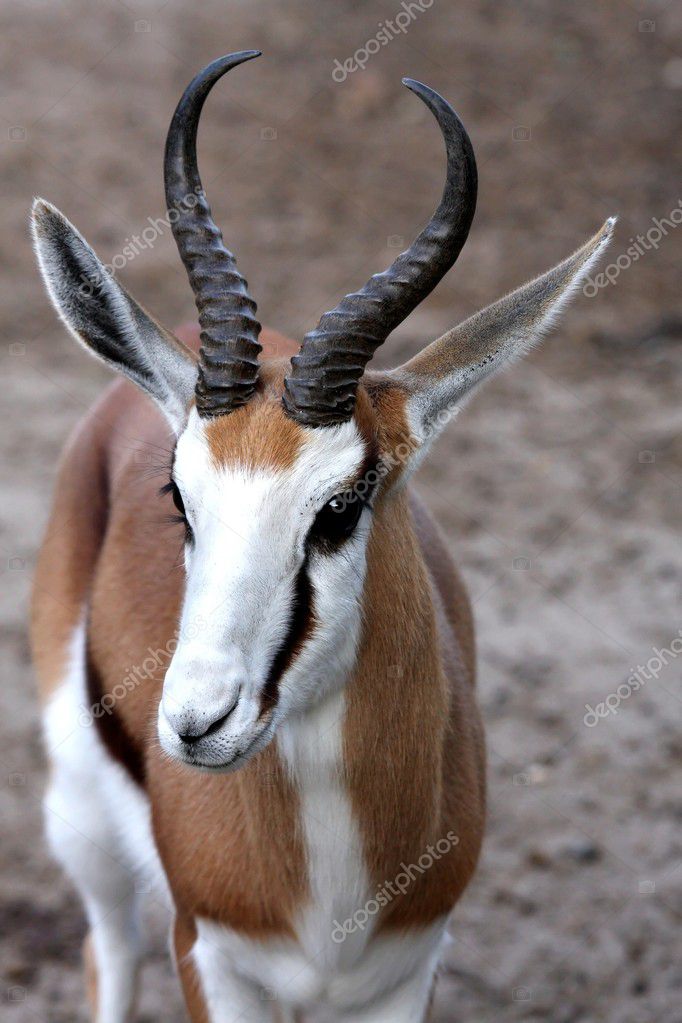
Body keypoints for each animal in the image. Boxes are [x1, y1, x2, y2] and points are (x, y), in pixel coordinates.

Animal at [31, 50, 613, 1023]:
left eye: (340, 506)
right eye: (180, 498)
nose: (195, 723)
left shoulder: (406, 974)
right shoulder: (210, 957)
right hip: (85, 830)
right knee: (103, 950)